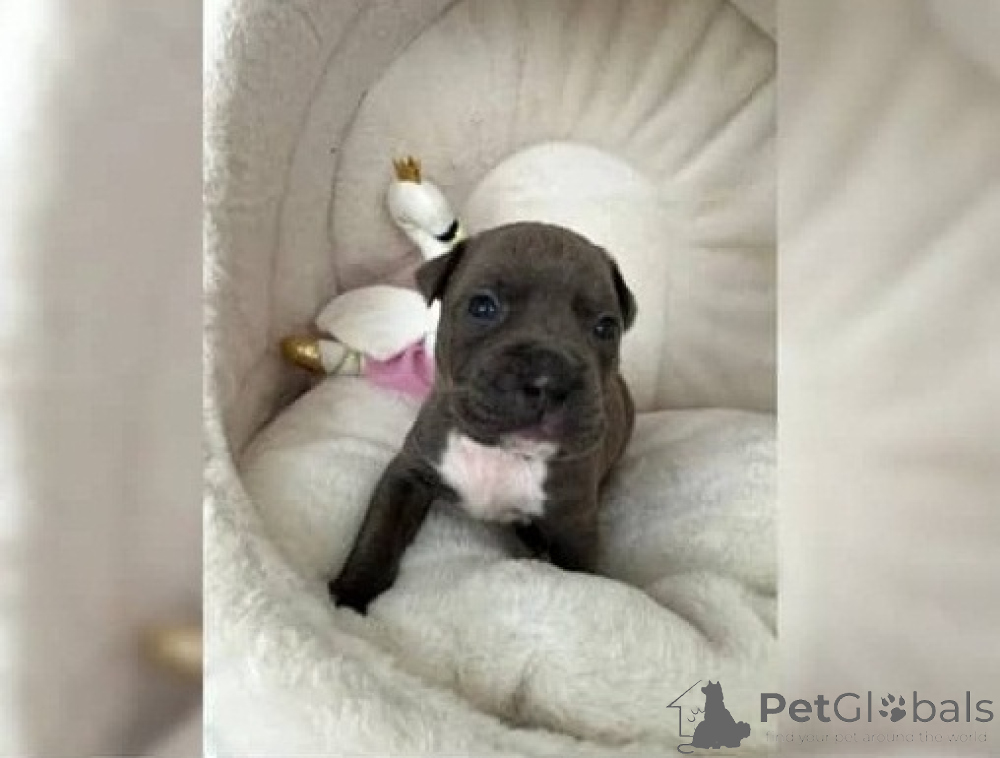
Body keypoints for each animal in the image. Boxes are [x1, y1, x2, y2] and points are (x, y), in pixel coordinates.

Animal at [329, 221, 637, 612]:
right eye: (483, 307)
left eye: (605, 328)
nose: (549, 378)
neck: (501, 452)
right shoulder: (408, 473)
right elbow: (380, 531)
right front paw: (352, 592)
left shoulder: (575, 521)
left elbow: (583, 577)